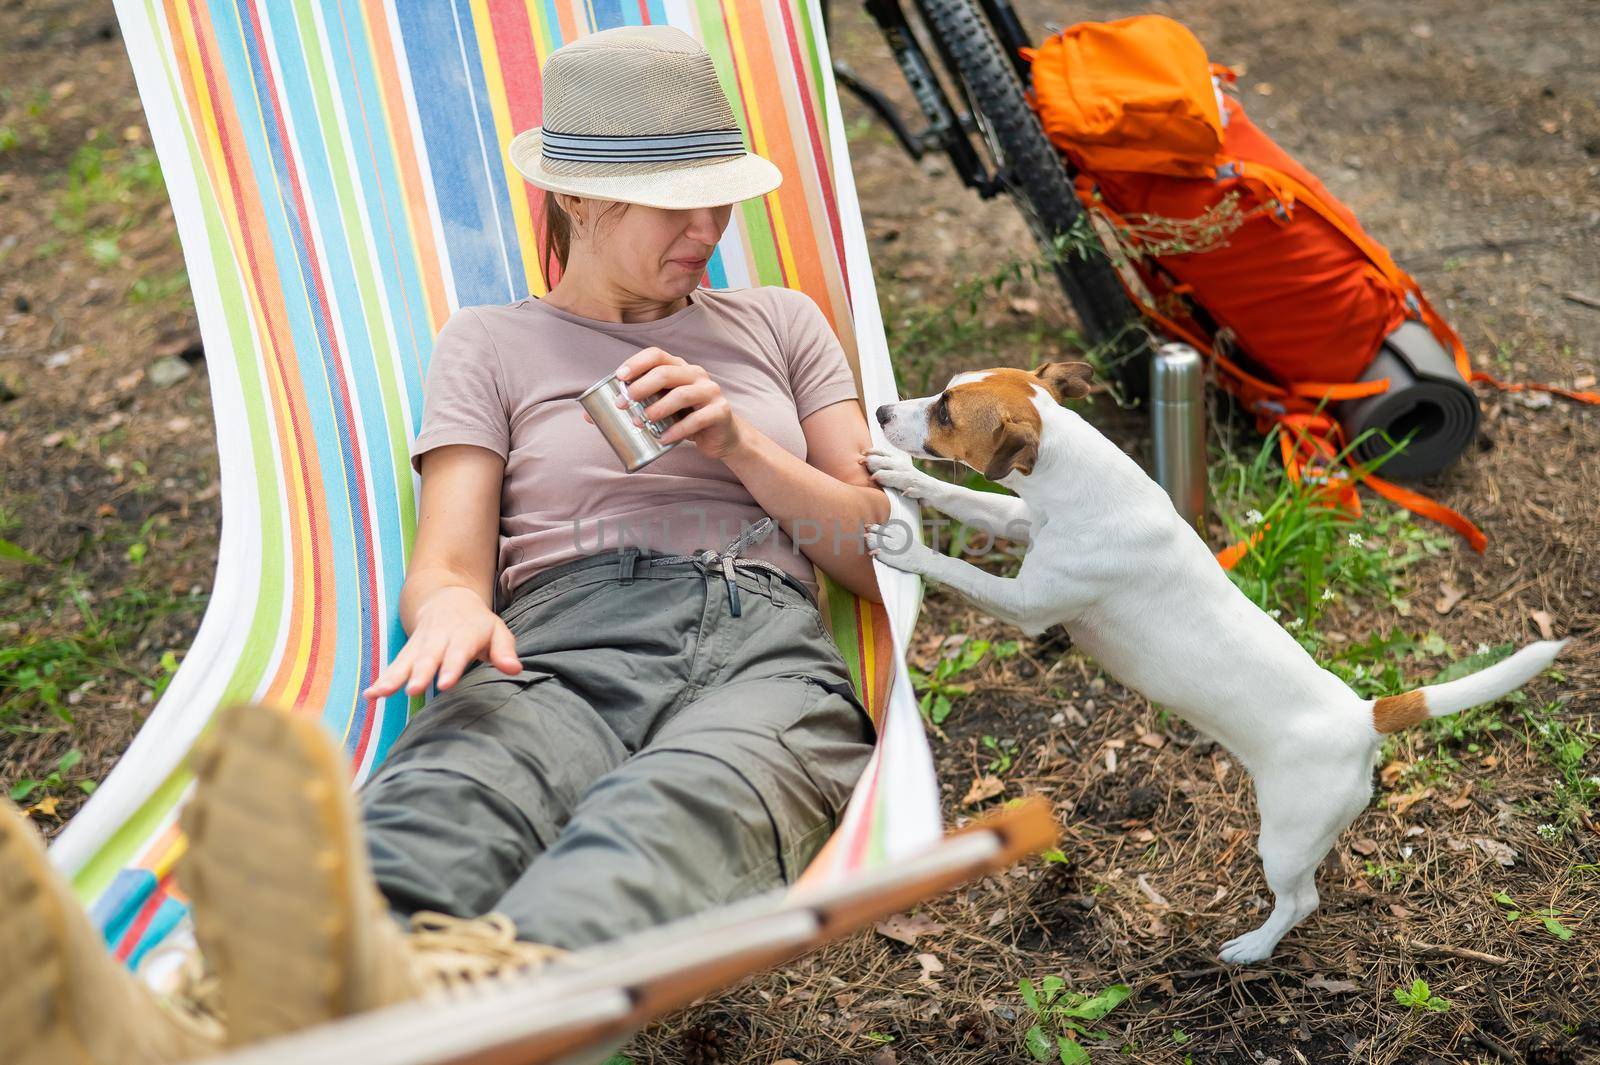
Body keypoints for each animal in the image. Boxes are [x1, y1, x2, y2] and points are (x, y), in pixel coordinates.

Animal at [870, 358, 1568, 959]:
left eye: (945, 411)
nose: (879, 410)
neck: (1078, 483)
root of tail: (1364, 716)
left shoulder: (1027, 606)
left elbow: (959, 569)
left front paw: (904, 551)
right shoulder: (1020, 518)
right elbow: (966, 500)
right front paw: (904, 477)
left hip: (1284, 839)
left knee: (1302, 901)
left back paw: (1254, 948)